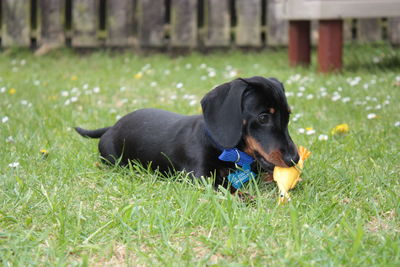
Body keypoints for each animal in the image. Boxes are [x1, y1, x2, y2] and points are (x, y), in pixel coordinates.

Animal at [76, 76, 298, 192]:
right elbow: (229, 188)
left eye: (288, 115)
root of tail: (112, 127)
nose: (294, 159)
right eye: (263, 117)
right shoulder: (201, 176)